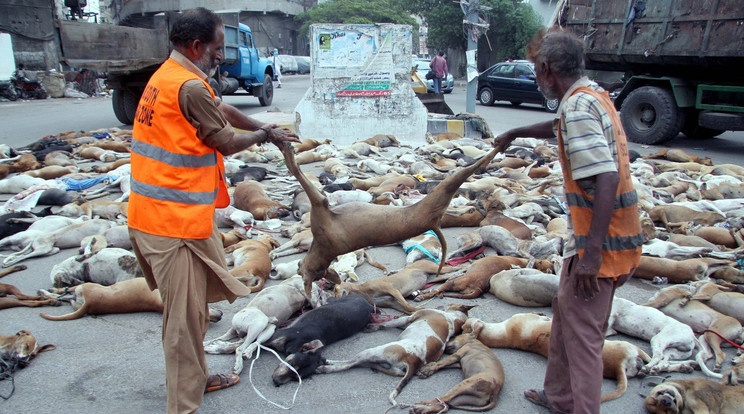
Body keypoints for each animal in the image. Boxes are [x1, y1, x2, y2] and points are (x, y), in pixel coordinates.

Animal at [276, 142, 496, 294]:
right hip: (436, 199)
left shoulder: (320, 203)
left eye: (299, 269)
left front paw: (289, 157)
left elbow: (298, 174)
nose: (298, 266)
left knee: (464, 179)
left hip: (437, 194)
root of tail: (433, 222)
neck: (321, 251)